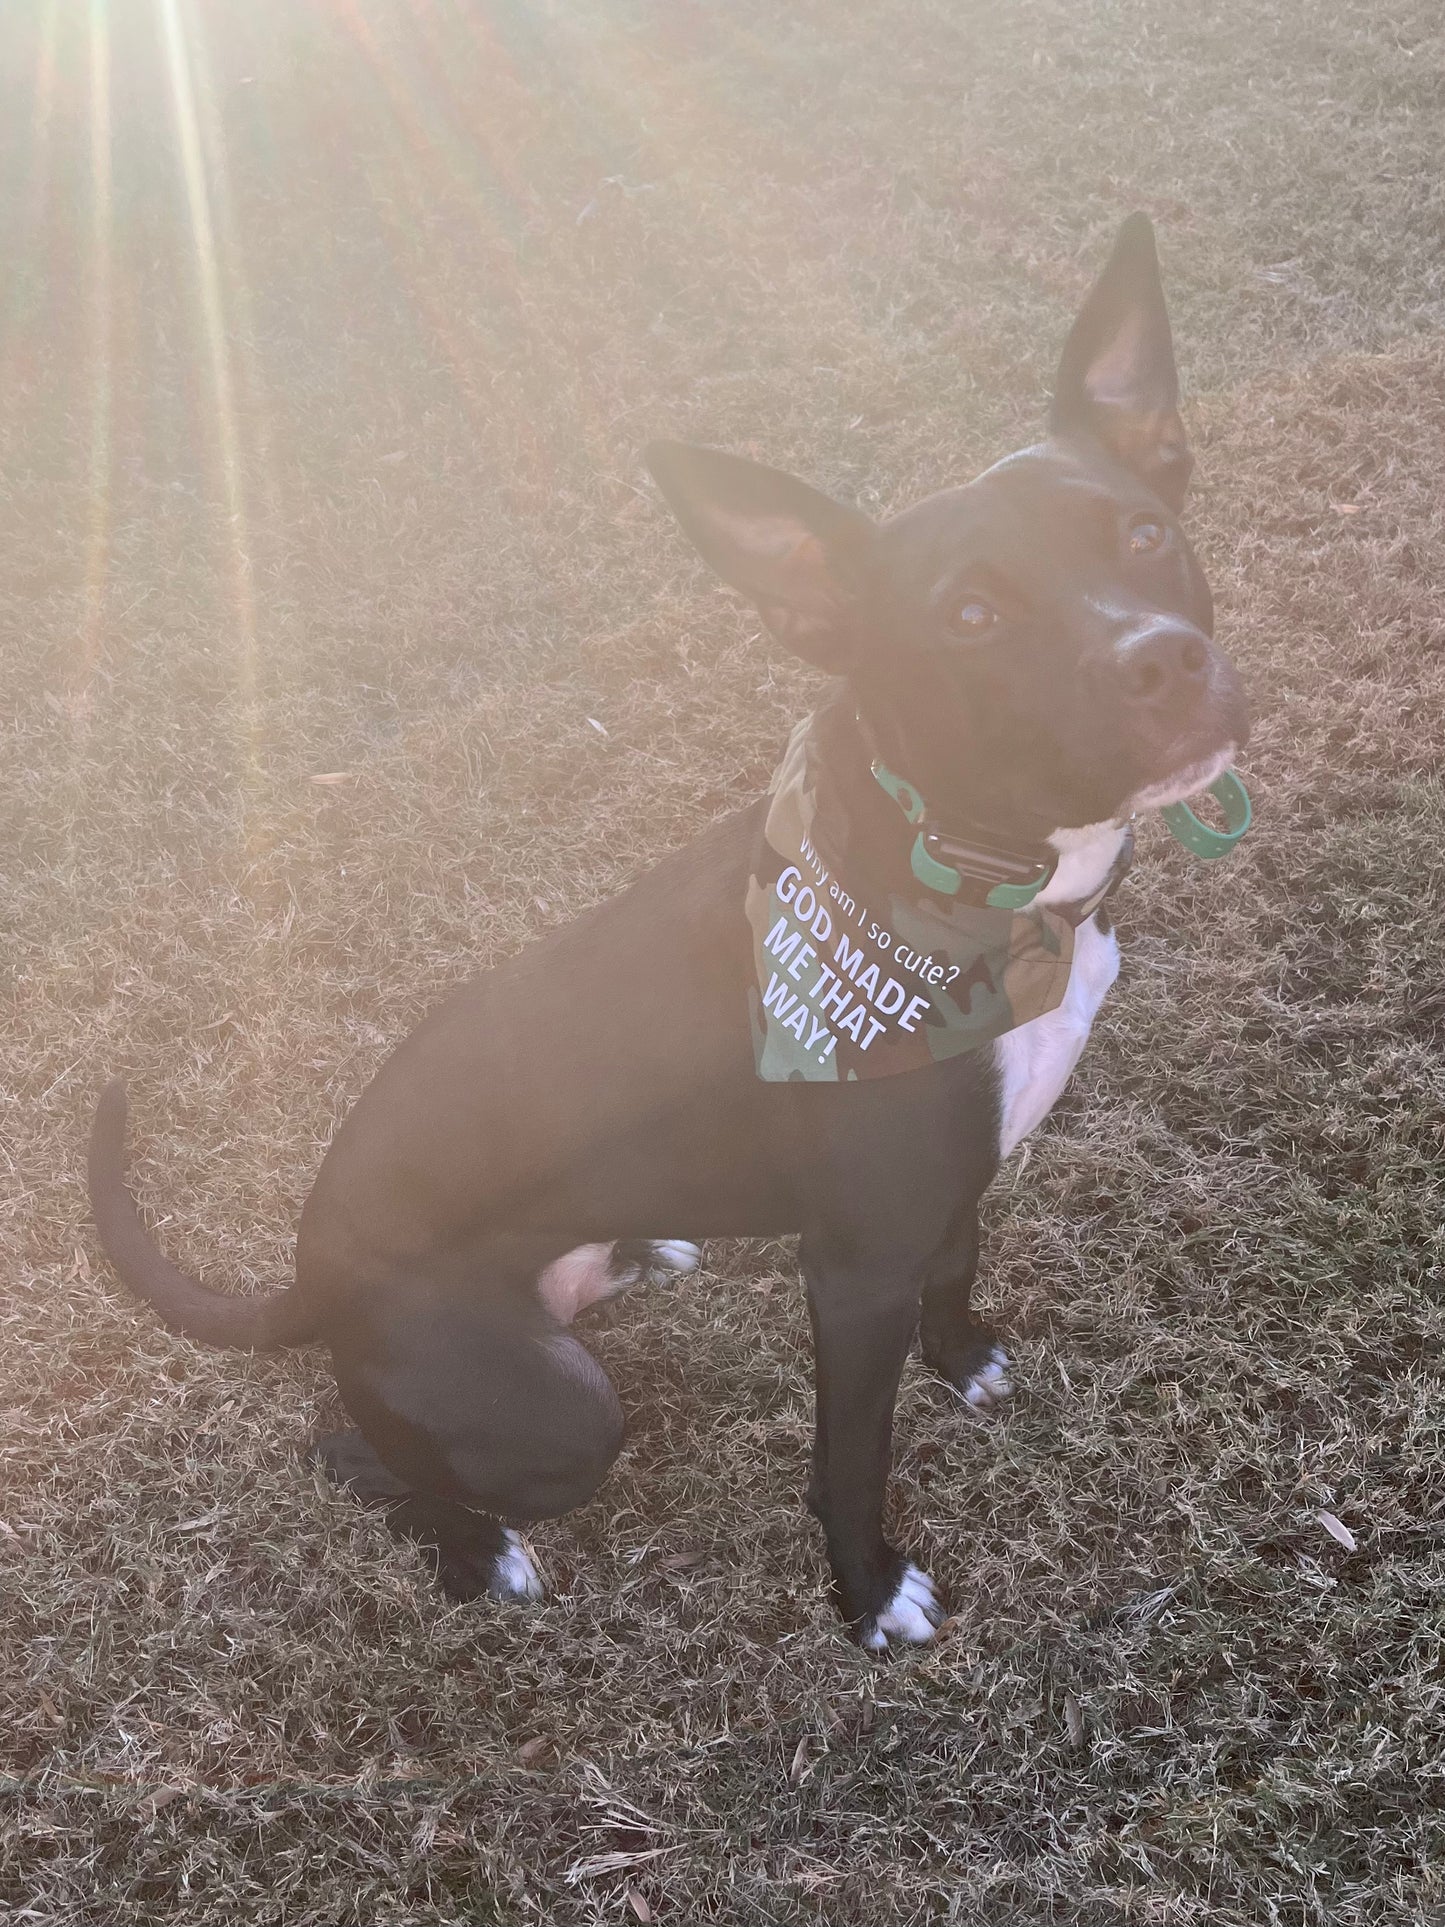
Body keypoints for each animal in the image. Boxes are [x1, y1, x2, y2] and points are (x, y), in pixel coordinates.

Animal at [90, 218, 1248, 1649]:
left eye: (1143, 533)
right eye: (970, 616)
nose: (1162, 660)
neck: (973, 880)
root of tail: (312, 1264)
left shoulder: (947, 1189)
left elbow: (957, 1262)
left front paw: (963, 1356)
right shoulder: (851, 1268)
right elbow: (849, 1453)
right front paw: (868, 1592)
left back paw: (637, 1251)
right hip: (555, 1416)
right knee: (343, 1448)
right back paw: (478, 1551)